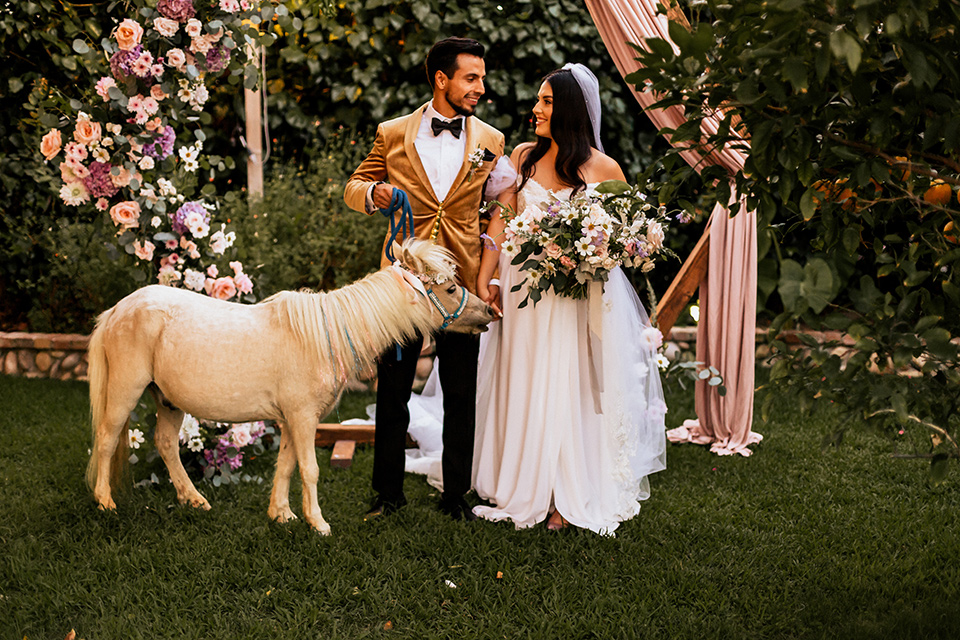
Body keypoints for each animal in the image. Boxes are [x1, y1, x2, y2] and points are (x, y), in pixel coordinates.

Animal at [86, 240, 496, 536]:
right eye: (448, 287)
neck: (326, 335)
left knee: (167, 445)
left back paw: (194, 500)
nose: (489, 312)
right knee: (106, 439)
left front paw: (281, 515)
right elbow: (309, 468)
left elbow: (285, 465)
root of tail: (117, 310)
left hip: (169, 400)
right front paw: (319, 523)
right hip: (125, 390)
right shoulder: (302, 418)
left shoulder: (291, 420)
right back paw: (106, 503)